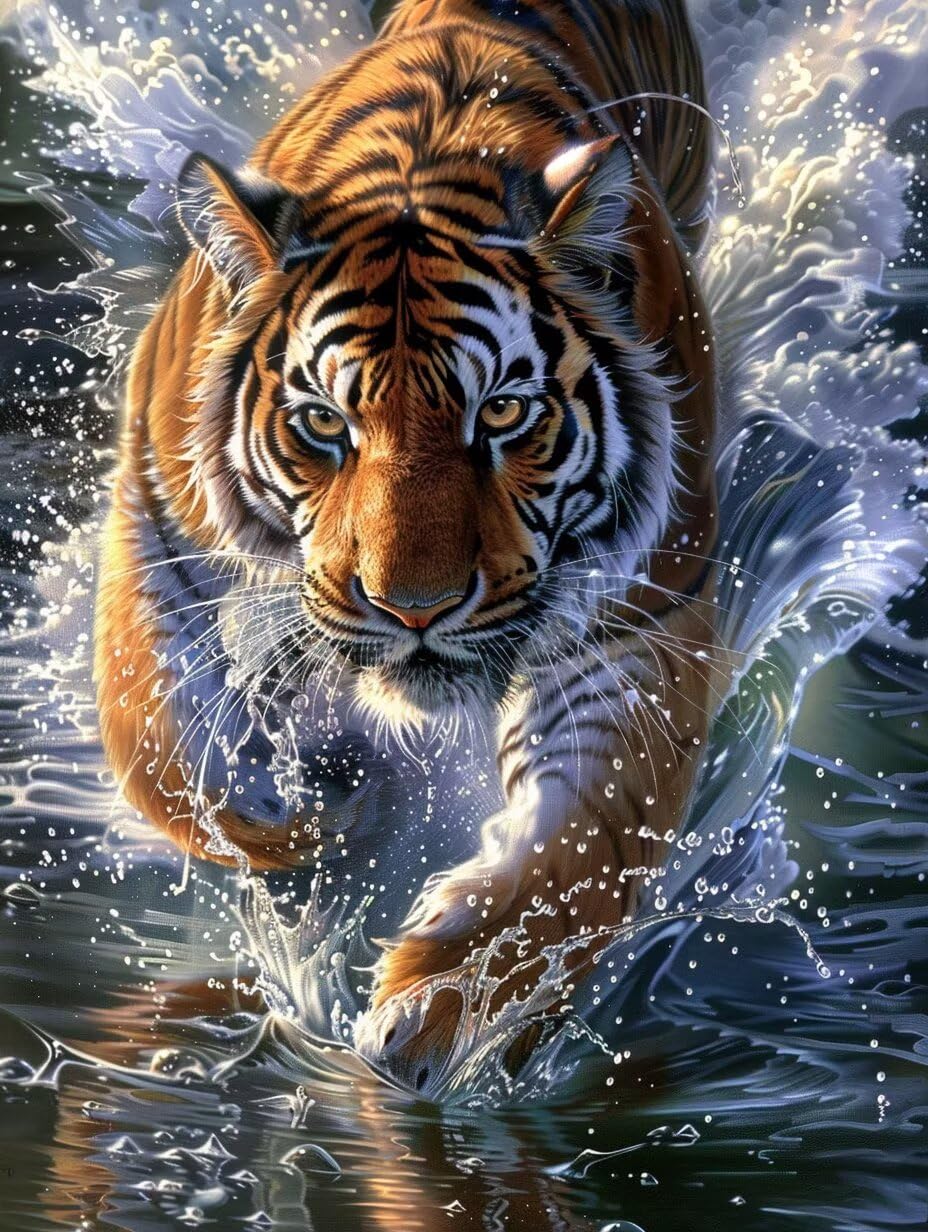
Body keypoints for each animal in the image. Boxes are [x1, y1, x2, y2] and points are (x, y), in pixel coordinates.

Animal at [94, 0, 725, 1089]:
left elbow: (581, 843)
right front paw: (298, 822)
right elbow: (159, 745)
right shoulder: (157, 513)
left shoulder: (640, 627)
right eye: (321, 423)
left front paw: (435, 1011)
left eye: (504, 412)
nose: (413, 608)